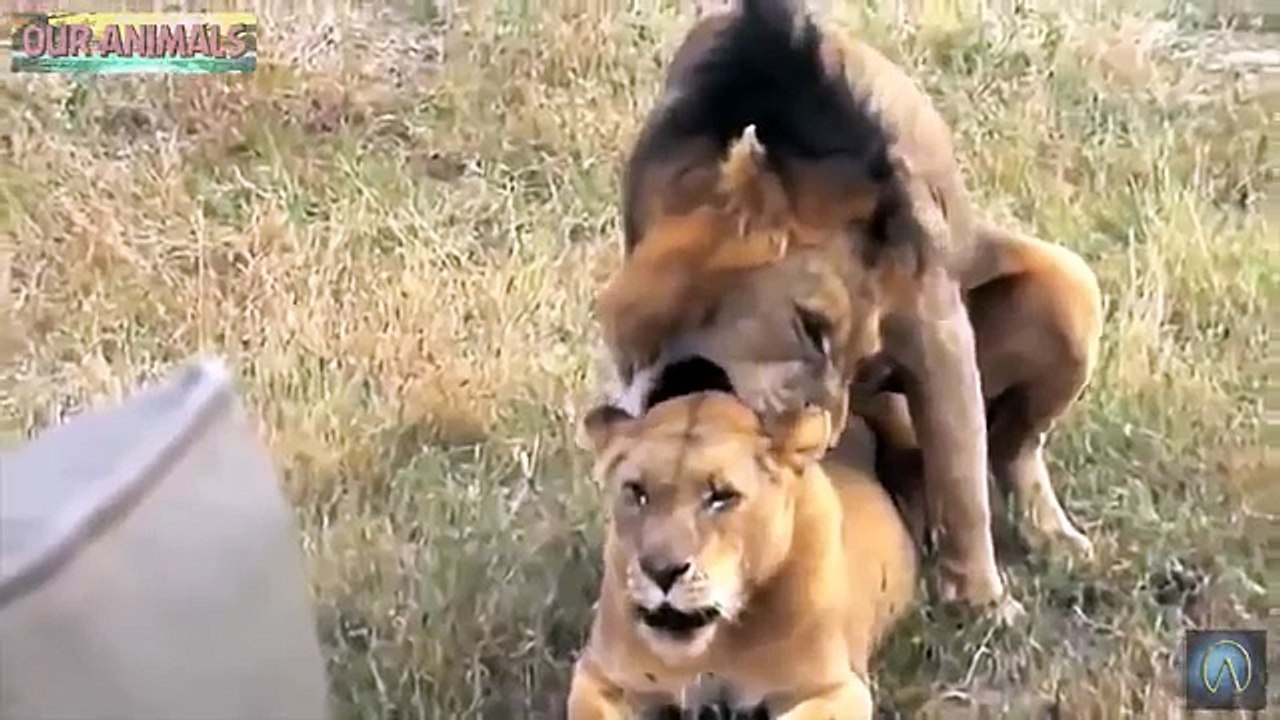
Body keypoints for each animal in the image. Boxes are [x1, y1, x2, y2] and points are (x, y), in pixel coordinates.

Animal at [567, 391, 921, 719]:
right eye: (637, 493)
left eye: (722, 497)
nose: (661, 571)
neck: (718, 646)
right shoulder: (602, 677)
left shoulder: (836, 688)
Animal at [597, 0, 1101, 610]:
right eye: (810, 326)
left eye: (862, 355)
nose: (825, 432)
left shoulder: (935, 320)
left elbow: (960, 467)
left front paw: (983, 602)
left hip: (1074, 284)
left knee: (1010, 447)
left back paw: (1053, 538)